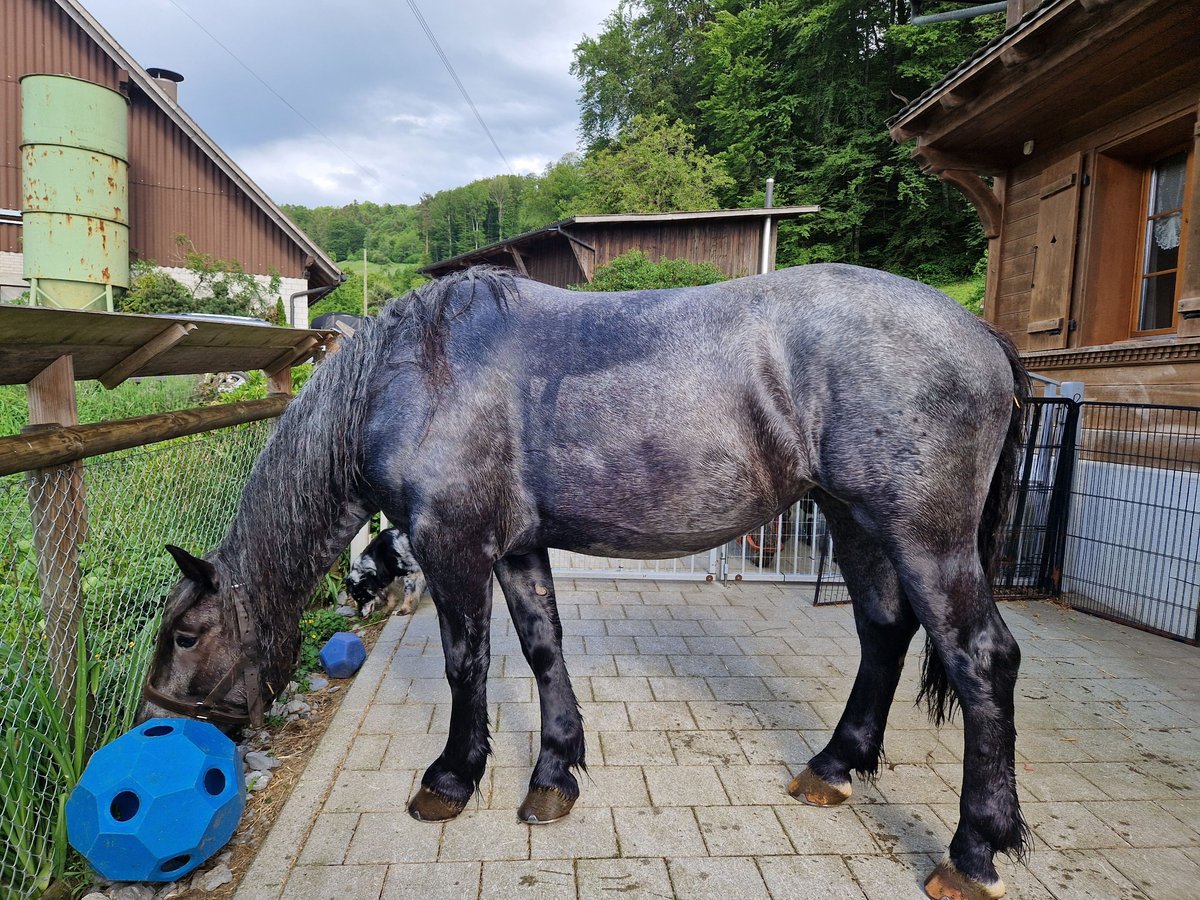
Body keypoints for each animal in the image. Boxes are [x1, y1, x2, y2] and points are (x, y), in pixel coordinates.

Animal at [145, 267, 1032, 900]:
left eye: (186, 635)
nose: (163, 719)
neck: (414, 375)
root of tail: (982, 335)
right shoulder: (516, 549)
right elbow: (543, 650)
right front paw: (554, 773)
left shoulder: (452, 549)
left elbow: (467, 663)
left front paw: (452, 777)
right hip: (854, 521)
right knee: (883, 630)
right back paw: (834, 768)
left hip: (922, 536)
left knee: (982, 658)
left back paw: (973, 852)